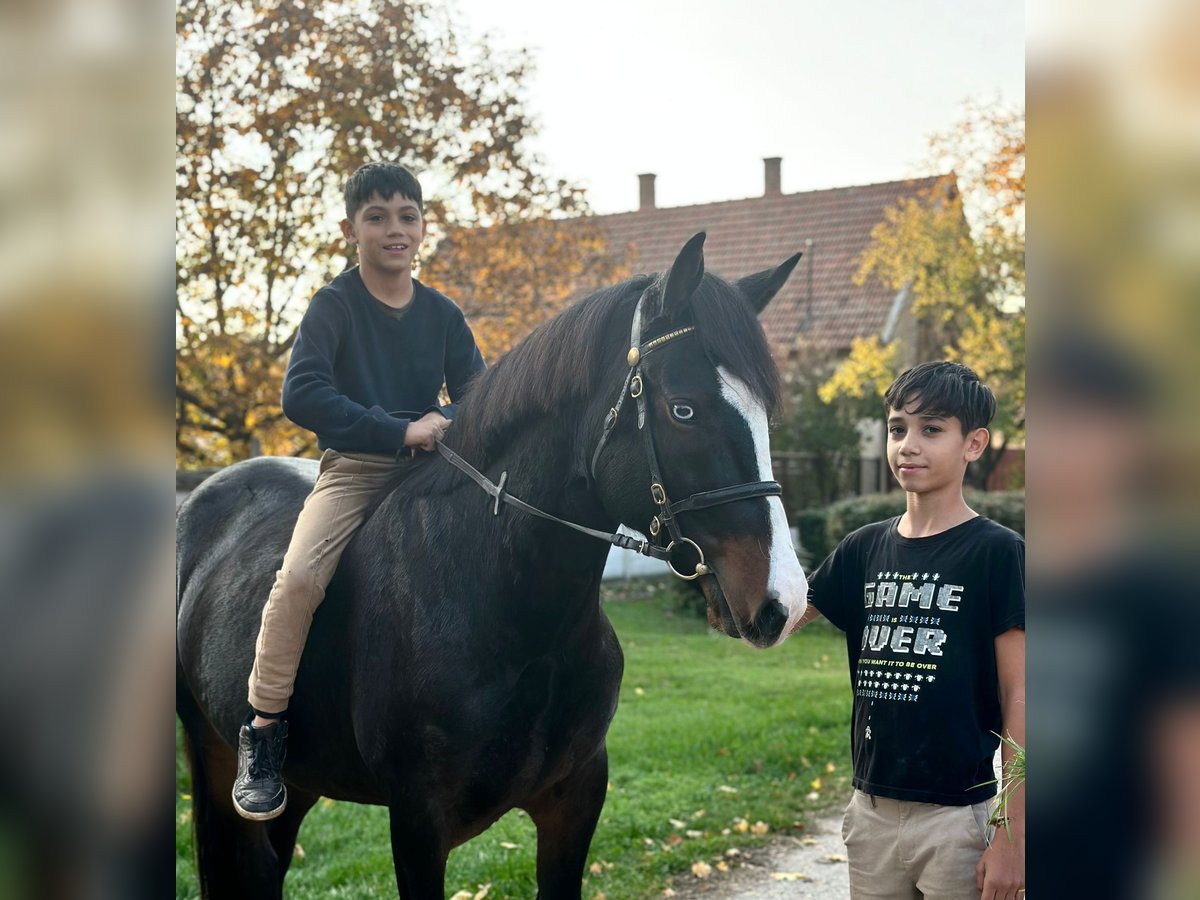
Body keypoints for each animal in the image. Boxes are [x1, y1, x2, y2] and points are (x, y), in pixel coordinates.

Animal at [174, 230, 811, 897]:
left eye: (765, 413)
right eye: (684, 409)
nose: (785, 602)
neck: (506, 609)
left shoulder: (575, 802)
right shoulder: (418, 826)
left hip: (300, 781)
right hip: (215, 756)